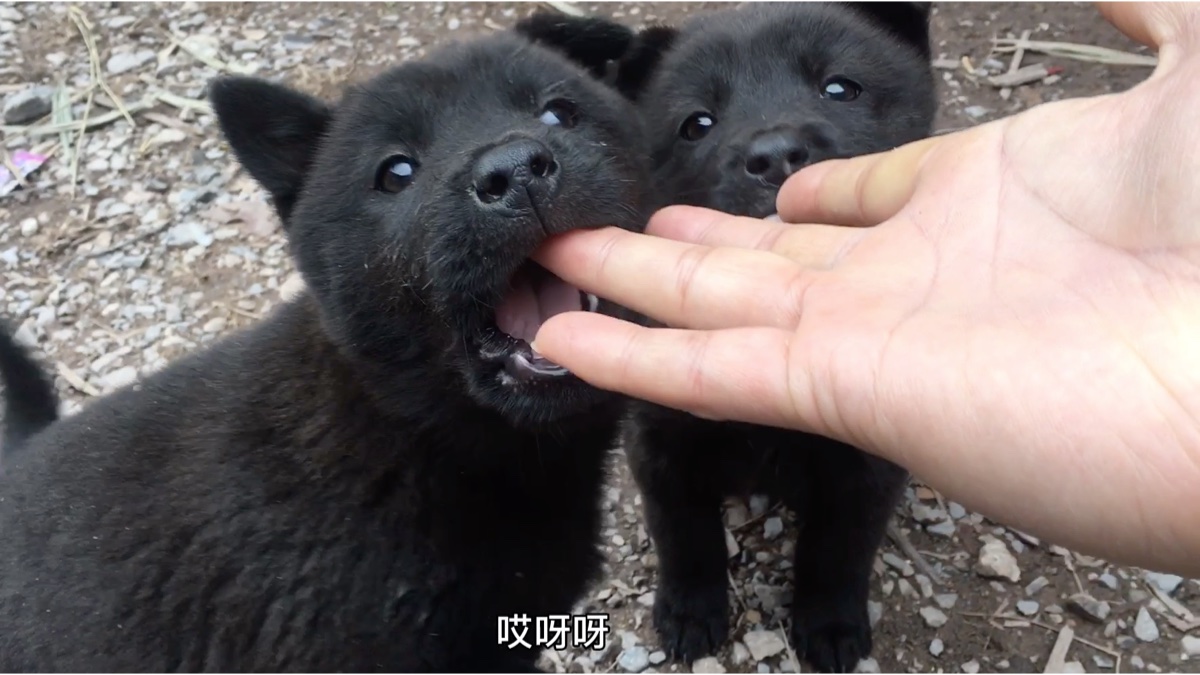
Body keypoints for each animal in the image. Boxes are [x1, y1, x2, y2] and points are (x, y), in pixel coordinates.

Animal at [525, 2, 936, 667]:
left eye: (840, 87)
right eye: (697, 124)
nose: (774, 155)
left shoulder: (868, 463)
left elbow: (840, 546)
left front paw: (831, 625)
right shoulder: (659, 444)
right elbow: (685, 534)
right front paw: (690, 612)